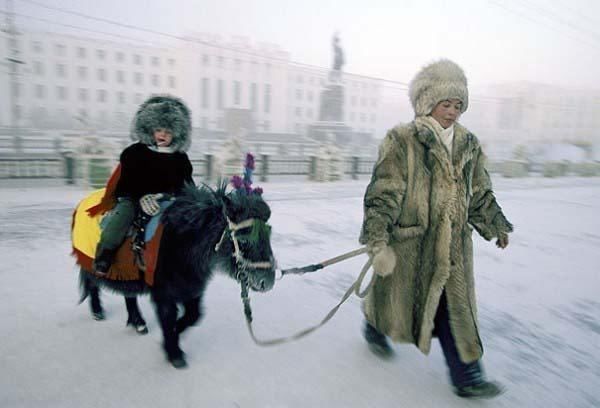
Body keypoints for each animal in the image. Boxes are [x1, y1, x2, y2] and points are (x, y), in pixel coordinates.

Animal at [73, 183, 276, 368]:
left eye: (268, 235)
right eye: (243, 240)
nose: (268, 281)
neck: (180, 241)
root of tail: (82, 204)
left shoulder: (191, 288)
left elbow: (194, 316)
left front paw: (175, 334)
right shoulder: (164, 293)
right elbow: (168, 318)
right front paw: (174, 353)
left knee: (128, 295)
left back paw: (138, 323)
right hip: (93, 265)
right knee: (93, 285)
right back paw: (98, 312)